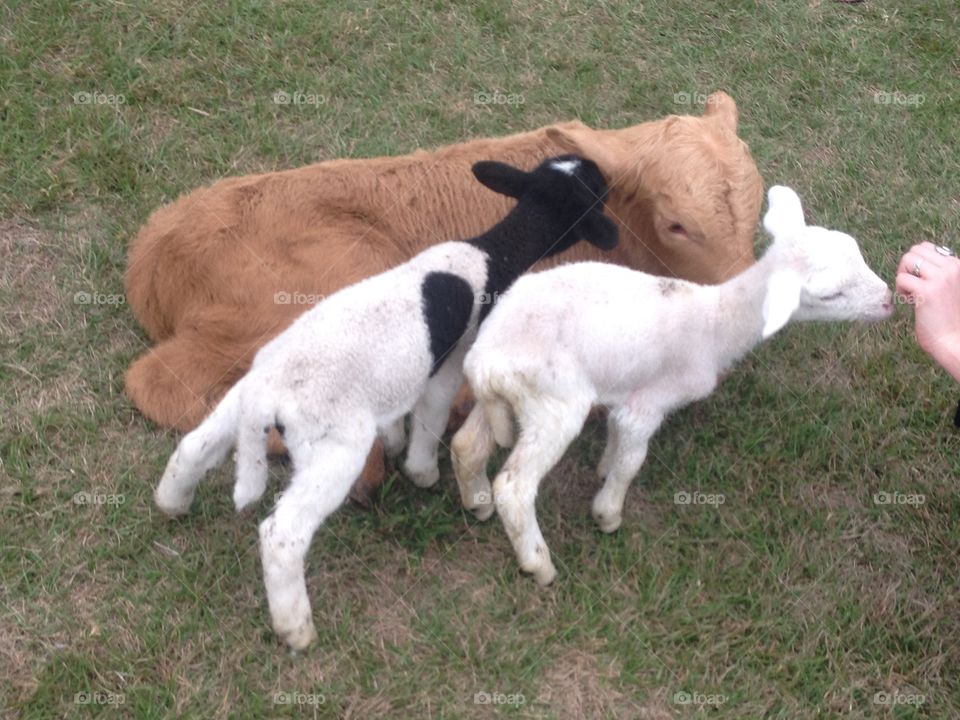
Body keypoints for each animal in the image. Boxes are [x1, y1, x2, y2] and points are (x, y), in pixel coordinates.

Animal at [150, 155, 616, 648]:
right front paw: (424, 473)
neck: (491, 254)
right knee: (282, 533)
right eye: (598, 191)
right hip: (335, 447)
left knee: (193, 447)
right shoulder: (449, 364)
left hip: (238, 397)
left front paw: (393, 444)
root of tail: (269, 396)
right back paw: (296, 628)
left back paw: (172, 504)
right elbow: (431, 418)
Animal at [454, 184, 896, 584]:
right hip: (554, 402)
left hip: (511, 397)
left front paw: (603, 469)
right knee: (514, 487)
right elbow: (632, 460)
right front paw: (607, 513)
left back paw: (477, 504)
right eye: (831, 294)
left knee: (465, 445)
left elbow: (615, 441)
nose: (889, 300)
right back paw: (537, 563)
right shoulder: (649, 403)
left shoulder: (629, 394)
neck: (714, 324)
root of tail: (483, 361)